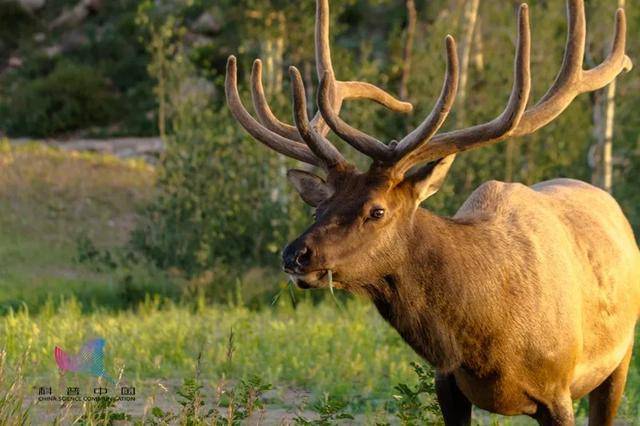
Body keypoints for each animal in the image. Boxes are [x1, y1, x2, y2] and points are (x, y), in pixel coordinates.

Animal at [226, 1, 640, 424]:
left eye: (376, 211)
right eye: (317, 210)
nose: (295, 254)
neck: (487, 337)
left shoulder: (558, 391)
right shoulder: (447, 382)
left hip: (620, 358)